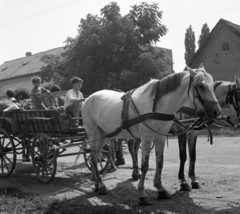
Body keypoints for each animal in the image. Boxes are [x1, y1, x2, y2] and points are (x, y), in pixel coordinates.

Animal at [82, 65, 221, 206]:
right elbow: (146, 165)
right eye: (201, 86)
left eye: (212, 85)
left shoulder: (161, 138)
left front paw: (161, 189)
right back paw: (101, 184)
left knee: (95, 156)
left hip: (103, 135)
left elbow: (161, 162)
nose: (217, 111)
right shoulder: (148, 138)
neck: (158, 106)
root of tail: (87, 99)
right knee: (94, 156)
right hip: (93, 134)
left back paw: (97, 183)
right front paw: (142, 194)